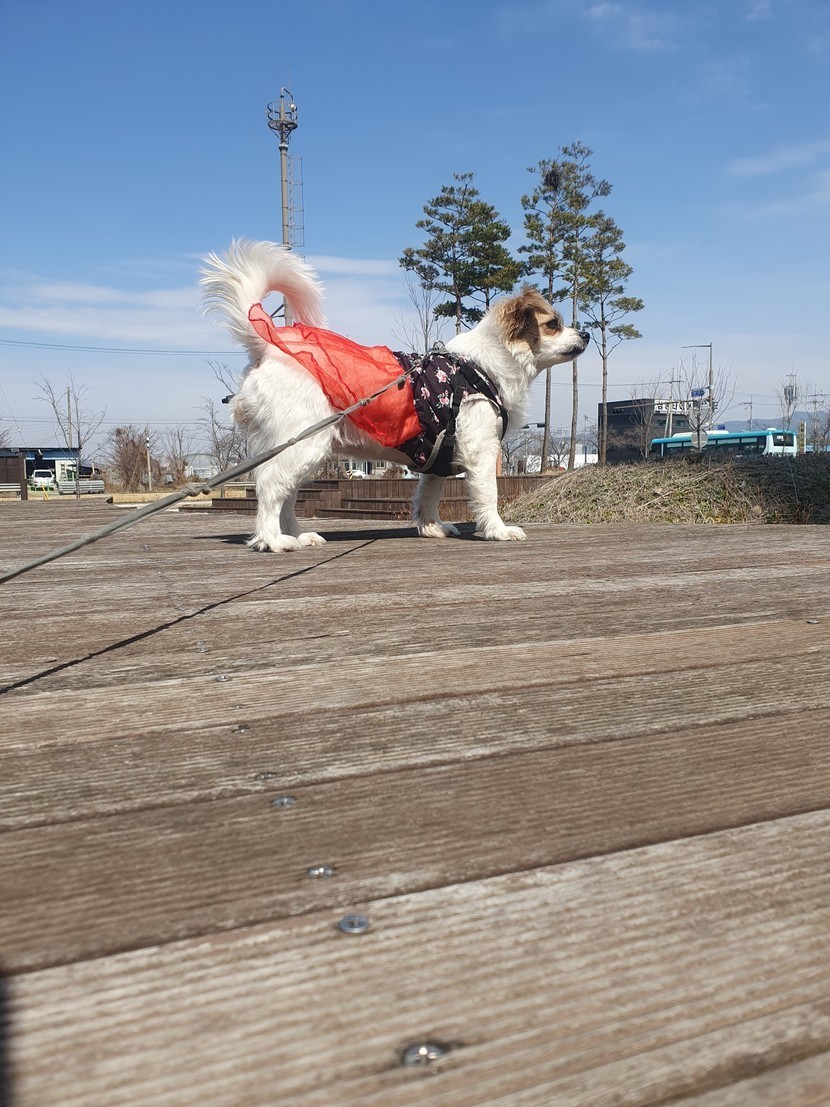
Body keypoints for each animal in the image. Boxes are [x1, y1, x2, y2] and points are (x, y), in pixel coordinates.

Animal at [201, 240, 589, 552]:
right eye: (553, 324)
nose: (585, 334)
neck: (480, 366)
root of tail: (270, 347)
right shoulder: (479, 449)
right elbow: (488, 494)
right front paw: (497, 530)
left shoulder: (438, 454)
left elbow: (428, 496)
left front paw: (431, 528)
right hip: (302, 444)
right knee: (270, 488)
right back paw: (274, 540)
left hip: (291, 447)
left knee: (286, 495)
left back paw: (297, 535)